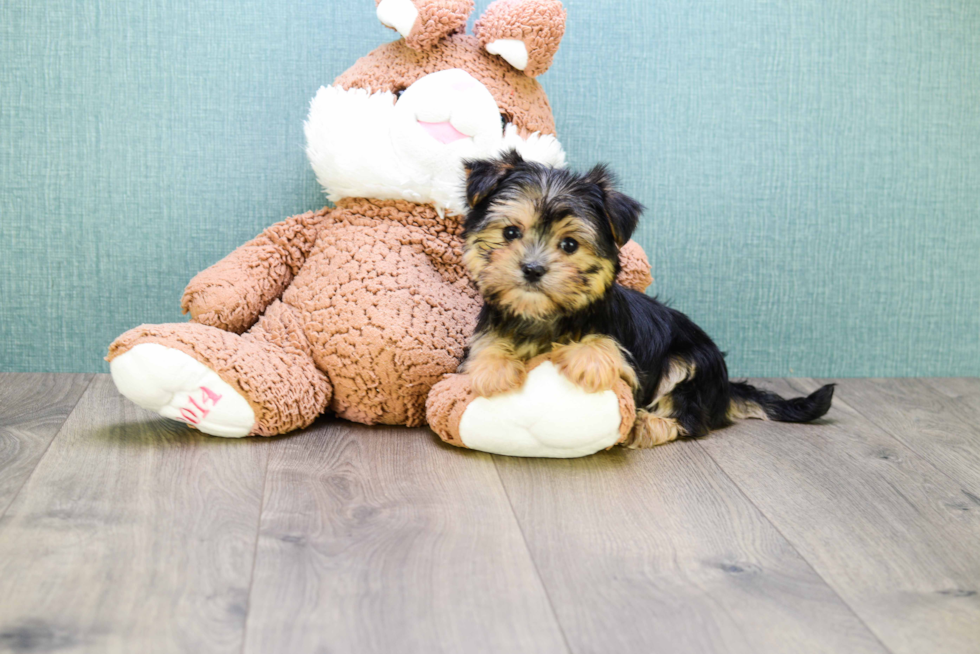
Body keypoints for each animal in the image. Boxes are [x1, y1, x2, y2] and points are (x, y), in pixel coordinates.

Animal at [460, 152, 836, 452]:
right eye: (510, 232)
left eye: (569, 245)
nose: (533, 269)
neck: (544, 316)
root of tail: (725, 388)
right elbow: (487, 344)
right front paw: (493, 368)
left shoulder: (630, 362)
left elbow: (608, 349)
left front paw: (589, 359)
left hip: (691, 362)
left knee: (690, 418)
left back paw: (645, 424)